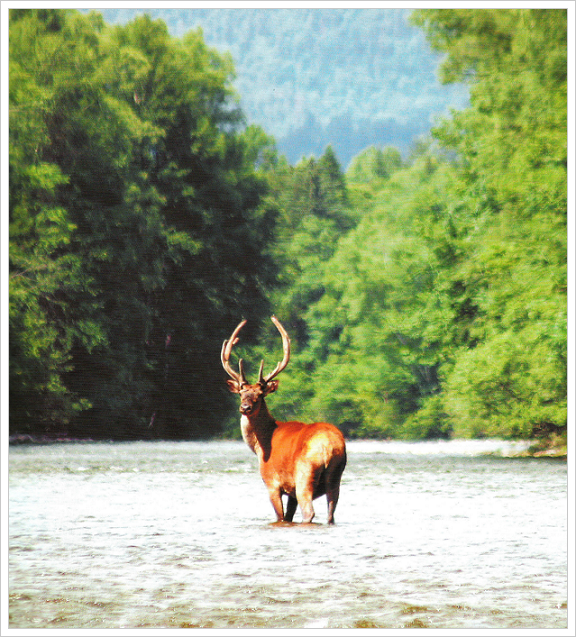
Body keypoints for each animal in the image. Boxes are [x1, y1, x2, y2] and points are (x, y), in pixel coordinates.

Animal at [220, 316, 346, 524]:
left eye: (260, 395)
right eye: (241, 393)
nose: (245, 407)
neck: (260, 445)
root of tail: (329, 448)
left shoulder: (272, 482)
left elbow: (281, 517)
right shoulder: (291, 491)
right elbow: (288, 516)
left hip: (305, 474)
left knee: (309, 512)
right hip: (335, 477)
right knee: (331, 514)